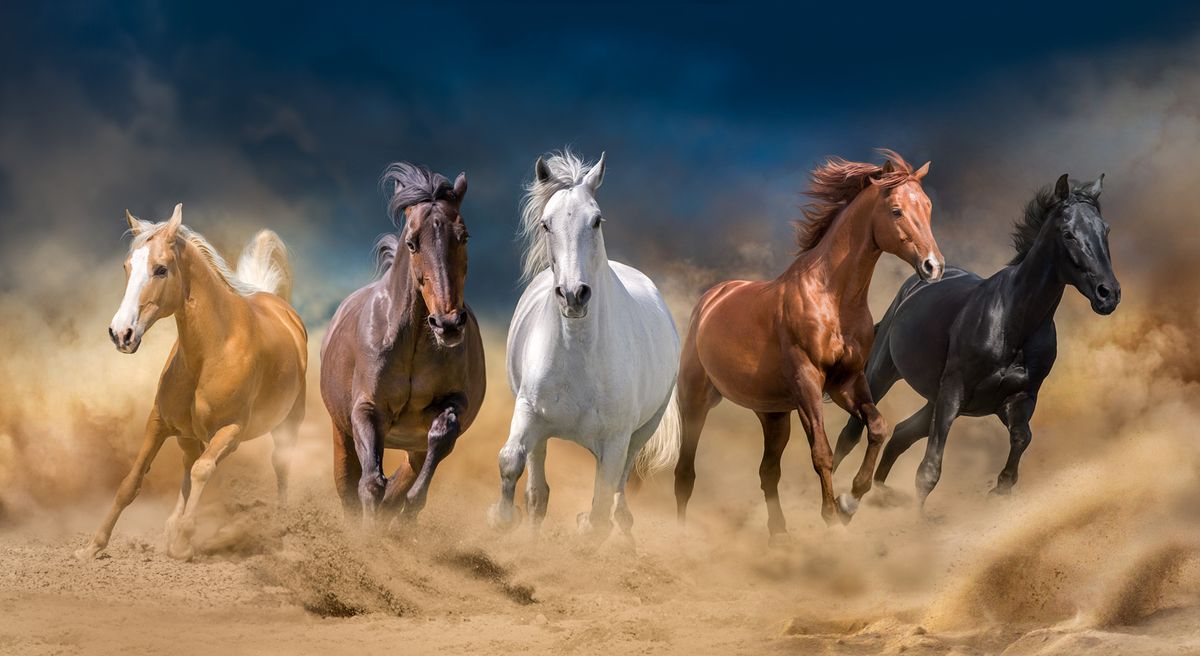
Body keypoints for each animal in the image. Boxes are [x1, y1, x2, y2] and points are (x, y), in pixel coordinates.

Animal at [76, 204, 306, 560]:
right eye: (127, 266)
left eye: (160, 269)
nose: (121, 333)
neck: (211, 352)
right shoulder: (159, 422)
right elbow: (132, 481)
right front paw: (93, 547)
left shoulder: (231, 431)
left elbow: (203, 470)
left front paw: (184, 543)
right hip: (187, 434)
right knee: (187, 464)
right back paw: (171, 527)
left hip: (288, 425)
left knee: (279, 467)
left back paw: (281, 529)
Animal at [320, 163, 485, 526]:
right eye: (412, 243)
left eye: (464, 236)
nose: (448, 324)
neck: (412, 345)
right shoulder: (366, 409)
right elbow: (369, 483)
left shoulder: (454, 402)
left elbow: (442, 435)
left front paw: (410, 504)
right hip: (341, 432)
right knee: (346, 484)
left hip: (412, 445)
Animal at [487, 150, 680, 539]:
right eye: (546, 224)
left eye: (596, 221)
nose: (574, 295)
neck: (580, 355)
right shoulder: (528, 411)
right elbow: (510, 461)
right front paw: (502, 519)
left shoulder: (617, 439)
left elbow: (601, 509)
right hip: (544, 434)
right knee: (538, 490)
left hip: (640, 432)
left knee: (617, 490)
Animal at [673, 150, 944, 542]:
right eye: (896, 210)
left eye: (927, 206)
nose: (934, 266)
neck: (832, 296)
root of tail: (711, 299)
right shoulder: (808, 382)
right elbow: (822, 452)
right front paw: (831, 514)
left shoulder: (847, 382)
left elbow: (876, 426)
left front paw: (851, 500)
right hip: (695, 400)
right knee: (684, 473)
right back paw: (678, 536)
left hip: (773, 415)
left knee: (767, 472)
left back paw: (780, 535)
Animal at [833, 174, 1118, 505]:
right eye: (1068, 234)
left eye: (1105, 230)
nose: (1108, 294)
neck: (1013, 323)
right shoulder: (953, 392)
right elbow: (929, 470)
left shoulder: (1017, 399)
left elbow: (1022, 438)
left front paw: (1001, 487)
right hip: (884, 374)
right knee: (852, 433)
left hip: (933, 399)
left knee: (901, 435)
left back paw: (878, 498)